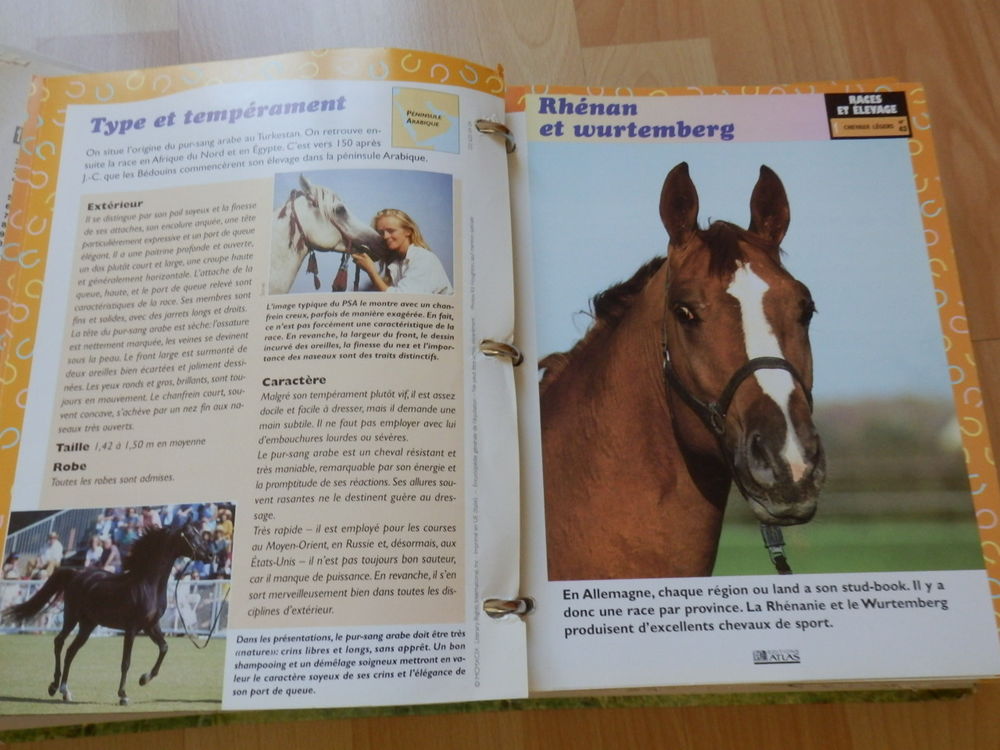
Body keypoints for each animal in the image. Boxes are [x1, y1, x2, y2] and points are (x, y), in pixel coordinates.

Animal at [1, 522, 214, 705]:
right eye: (191, 536)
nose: (211, 556)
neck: (147, 585)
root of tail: (76, 573)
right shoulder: (132, 628)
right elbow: (126, 662)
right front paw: (123, 695)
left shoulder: (151, 625)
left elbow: (164, 647)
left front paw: (144, 679)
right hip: (72, 617)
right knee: (59, 642)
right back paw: (54, 687)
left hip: (88, 625)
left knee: (71, 651)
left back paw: (65, 691)